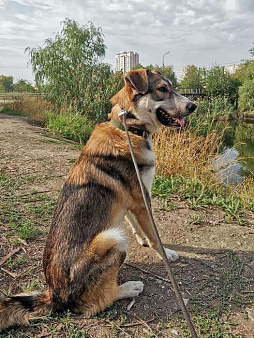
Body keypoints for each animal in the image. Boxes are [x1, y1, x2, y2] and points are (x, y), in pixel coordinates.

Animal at [0, 68, 196, 330]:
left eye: (172, 87)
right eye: (162, 89)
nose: (194, 105)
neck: (128, 128)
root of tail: (55, 295)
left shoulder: (134, 201)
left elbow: (139, 227)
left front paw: (143, 240)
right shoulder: (142, 199)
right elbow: (155, 236)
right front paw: (166, 253)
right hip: (113, 238)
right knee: (98, 302)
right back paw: (128, 288)